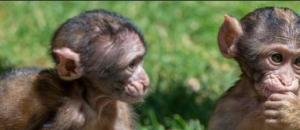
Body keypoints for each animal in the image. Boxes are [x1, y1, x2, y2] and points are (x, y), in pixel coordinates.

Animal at [0, 9, 150, 130]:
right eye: (132, 65)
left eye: (140, 61)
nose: (145, 82)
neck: (93, 103)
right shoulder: (69, 116)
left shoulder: (120, 110)